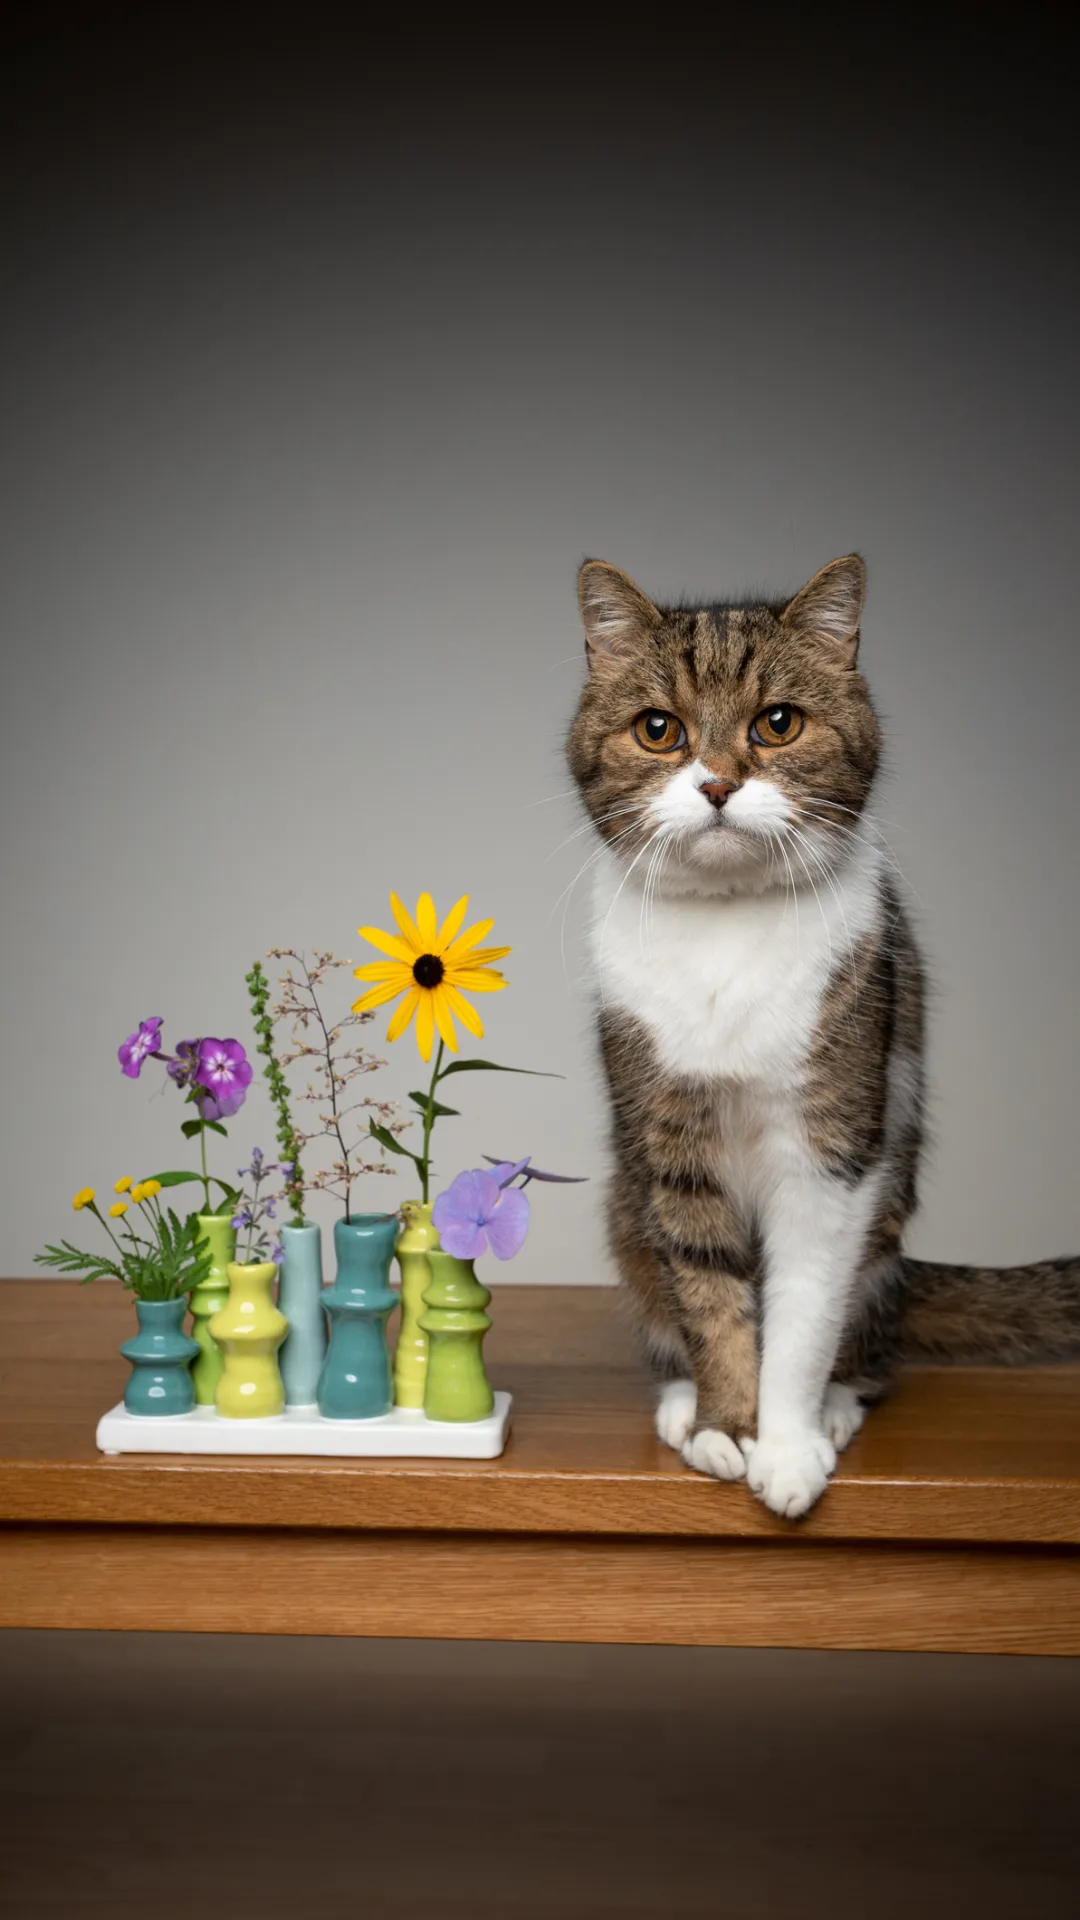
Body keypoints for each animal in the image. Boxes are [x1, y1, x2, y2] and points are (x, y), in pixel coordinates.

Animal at [564, 552, 1076, 1512]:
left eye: (778, 723)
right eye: (658, 730)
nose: (718, 783)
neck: (726, 931)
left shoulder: (833, 1146)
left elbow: (802, 1312)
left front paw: (789, 1444)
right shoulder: (670, 1144)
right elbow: (709, 1293)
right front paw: (728, 1425)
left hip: (887, 1223)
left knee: (863, 1340)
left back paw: (838, 1402)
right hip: (624, 1207)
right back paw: (681, 1400)